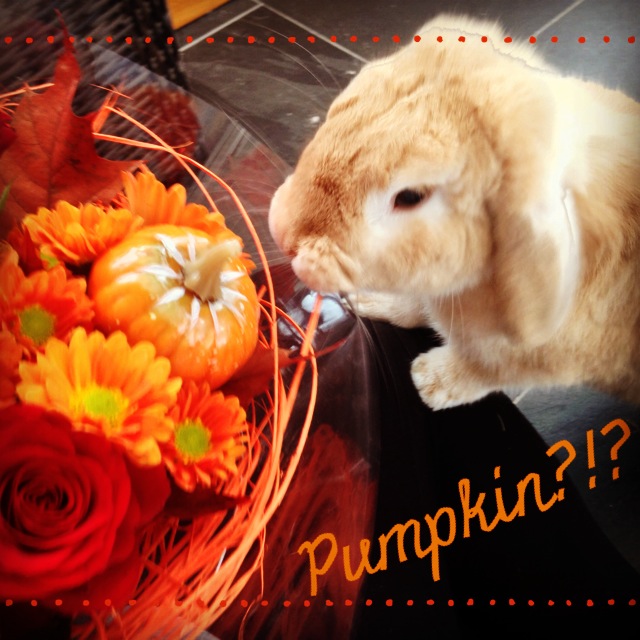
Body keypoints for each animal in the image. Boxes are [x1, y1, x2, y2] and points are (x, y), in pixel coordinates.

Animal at [268, 14, 640, 410]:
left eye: (410, 197)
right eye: (338, 111)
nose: (282, 232)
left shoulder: (546, 360)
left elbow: (485, 371)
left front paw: (429, 382)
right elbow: (414, 305)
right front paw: (368, 301)